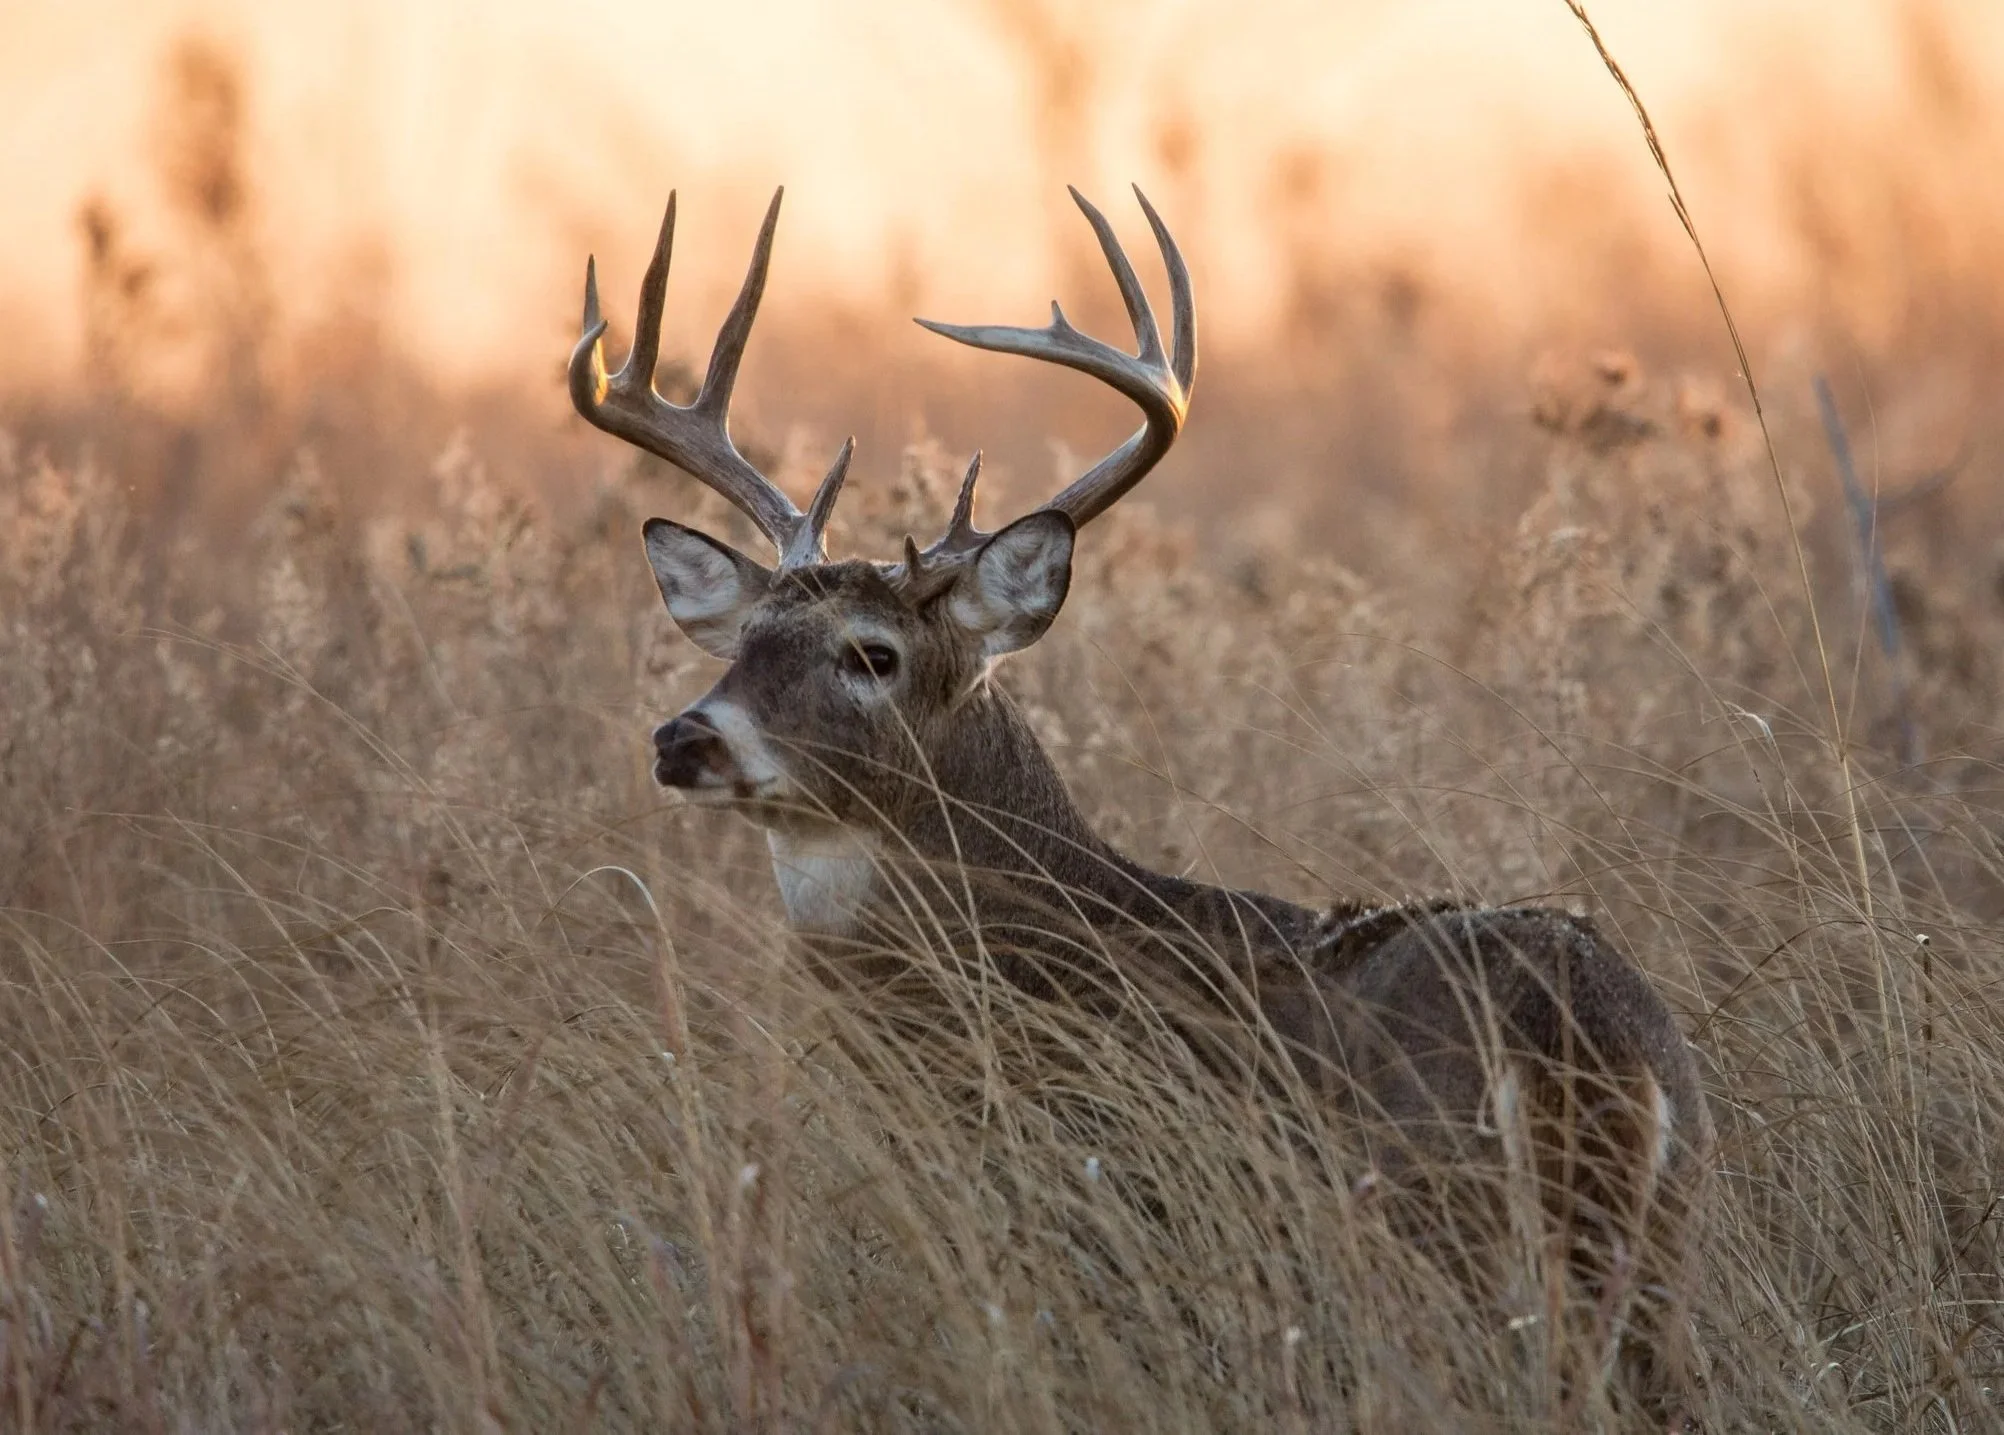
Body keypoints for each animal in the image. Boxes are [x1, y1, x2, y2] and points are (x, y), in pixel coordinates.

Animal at [569, 187, 1716, 1410]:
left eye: (871, 653)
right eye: (745, 639)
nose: (684, 737)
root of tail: (1572, 1041)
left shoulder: (1113, 1210)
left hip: (1437, 1234)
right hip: (1657, 1247)